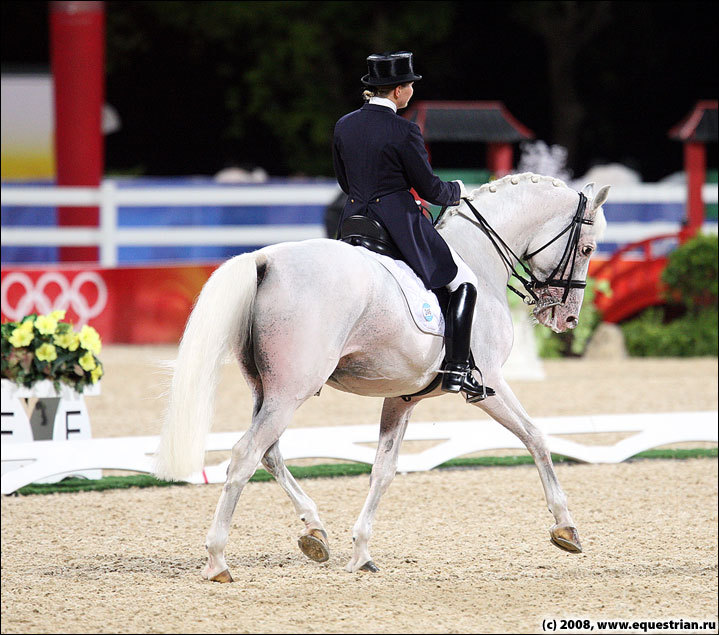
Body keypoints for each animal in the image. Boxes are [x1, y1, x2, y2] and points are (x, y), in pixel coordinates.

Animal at [155, 173, 612, 580]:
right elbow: (536, 437)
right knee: (245, 455)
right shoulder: (490, 385)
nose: (567, 319)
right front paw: (565, 528)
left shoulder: (402, 397)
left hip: (264, 390)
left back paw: (315, 531)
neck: (478, 257)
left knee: (269, 453)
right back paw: (217, 560)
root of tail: (266, 260)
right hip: (290, 392)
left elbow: (383, 470)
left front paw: (361, 552)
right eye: (588, 247)